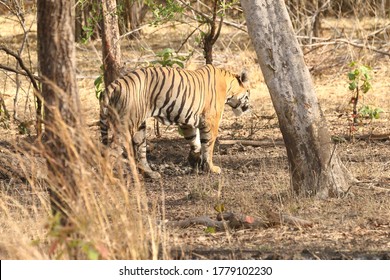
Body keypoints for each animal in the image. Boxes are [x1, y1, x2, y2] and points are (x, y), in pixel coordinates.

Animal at [99, 64, 248, 179]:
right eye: (248, 93)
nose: (248, 107)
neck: (229, 85)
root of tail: (116, 83)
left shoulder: (187, 121)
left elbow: (195, 142)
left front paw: (194, 160)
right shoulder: (211, 121)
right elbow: (208, 146)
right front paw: (211, 168)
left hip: (139, 127)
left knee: (140, 152)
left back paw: (151, 174)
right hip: (127, 124)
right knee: (111, 150)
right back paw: (110, 179)